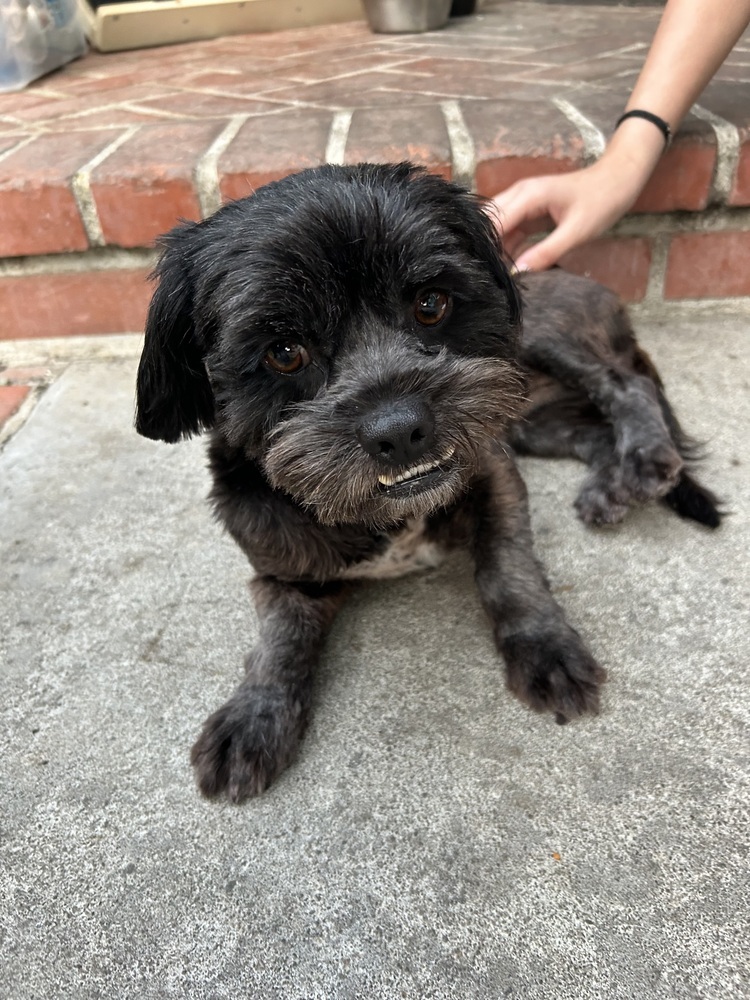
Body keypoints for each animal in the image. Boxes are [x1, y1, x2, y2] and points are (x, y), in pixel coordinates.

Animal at [137, 164, 724, 804]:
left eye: (430, 303)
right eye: (284, 352)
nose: (400, 430)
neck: (382, 513)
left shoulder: (492, 472)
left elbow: (508, 567)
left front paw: (545, 646)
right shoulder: (281, 567)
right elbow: (279, 639)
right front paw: (255, 715)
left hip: (545, 341)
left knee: (624, 387)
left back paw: (643, 461)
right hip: (530, 421)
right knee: (591, 432)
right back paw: (612, 485)